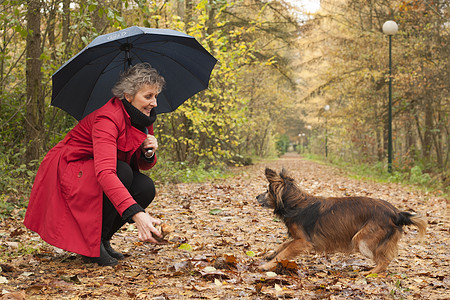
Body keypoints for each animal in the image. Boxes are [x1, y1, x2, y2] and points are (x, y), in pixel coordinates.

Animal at [256, 168, 426, 276]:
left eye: (267, 190)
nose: (256, 196)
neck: (295, 204)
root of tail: (396, 213)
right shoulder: (299, 239)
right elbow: (282, 246)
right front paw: (270, 255)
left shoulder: (303, 241)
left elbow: (284, 252)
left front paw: (266, 266)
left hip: (362, 240)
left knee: (384, 261)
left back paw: (370, 273)